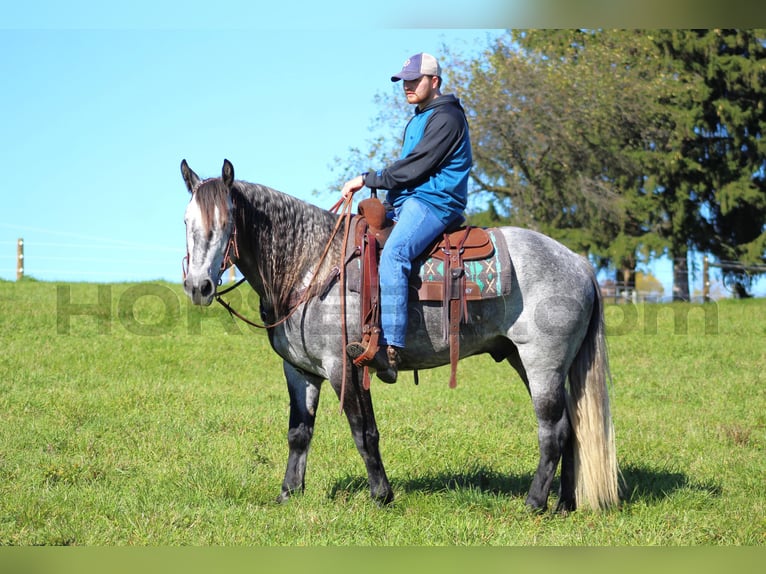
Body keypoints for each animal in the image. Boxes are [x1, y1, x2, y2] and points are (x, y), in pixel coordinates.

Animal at [178, 160, 616, 516]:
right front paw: (288, 493)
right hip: (532, 362)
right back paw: (565, 503)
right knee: (573, 427)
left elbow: (364, 432)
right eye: (186, 222)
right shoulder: (300, 371)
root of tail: (578, 262)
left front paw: (381, 495)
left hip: (542, 363)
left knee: (553, 430)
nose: (198, 286)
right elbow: (299, 433)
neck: (309, 266)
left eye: (226, 223)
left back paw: (534, 503)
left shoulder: (343, 366)